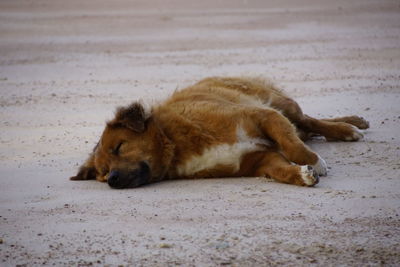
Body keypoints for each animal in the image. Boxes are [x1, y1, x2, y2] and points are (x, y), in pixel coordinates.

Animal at [71, 76, 368, 189]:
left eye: (119, 147)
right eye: (102, 173)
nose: (112, 180)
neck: (174, 141)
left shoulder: (263, 115)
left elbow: (294, 147)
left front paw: (315, 163)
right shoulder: (259, 160)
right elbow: (281, 169)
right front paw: (302, 175)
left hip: (283, 106)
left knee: (309, 122)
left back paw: (348, 127)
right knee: (305, 130)